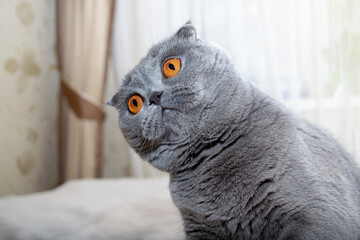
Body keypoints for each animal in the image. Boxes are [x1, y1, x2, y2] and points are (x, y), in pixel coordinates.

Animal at [109, 23, 360, 240]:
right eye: (134, 103)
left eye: (171, 66)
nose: (154, 95)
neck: (212, 154)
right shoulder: (198, 225)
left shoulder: (321, 213)